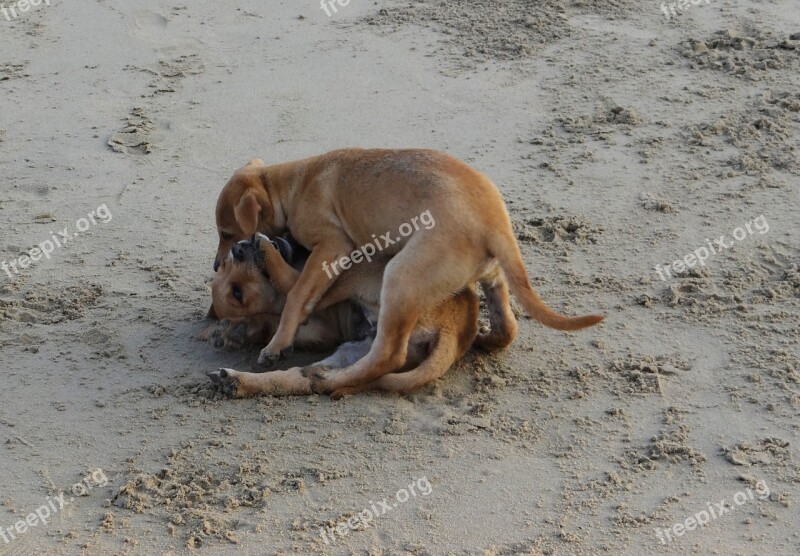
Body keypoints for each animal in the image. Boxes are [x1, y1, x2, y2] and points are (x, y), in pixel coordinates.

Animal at [203, 232, 490, 398]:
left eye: (227, 263)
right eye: (237, 294)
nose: (238, 249)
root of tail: (457, 326)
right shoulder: (323, 329)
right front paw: (239, 331)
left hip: (359, 268)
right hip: (357, 315)